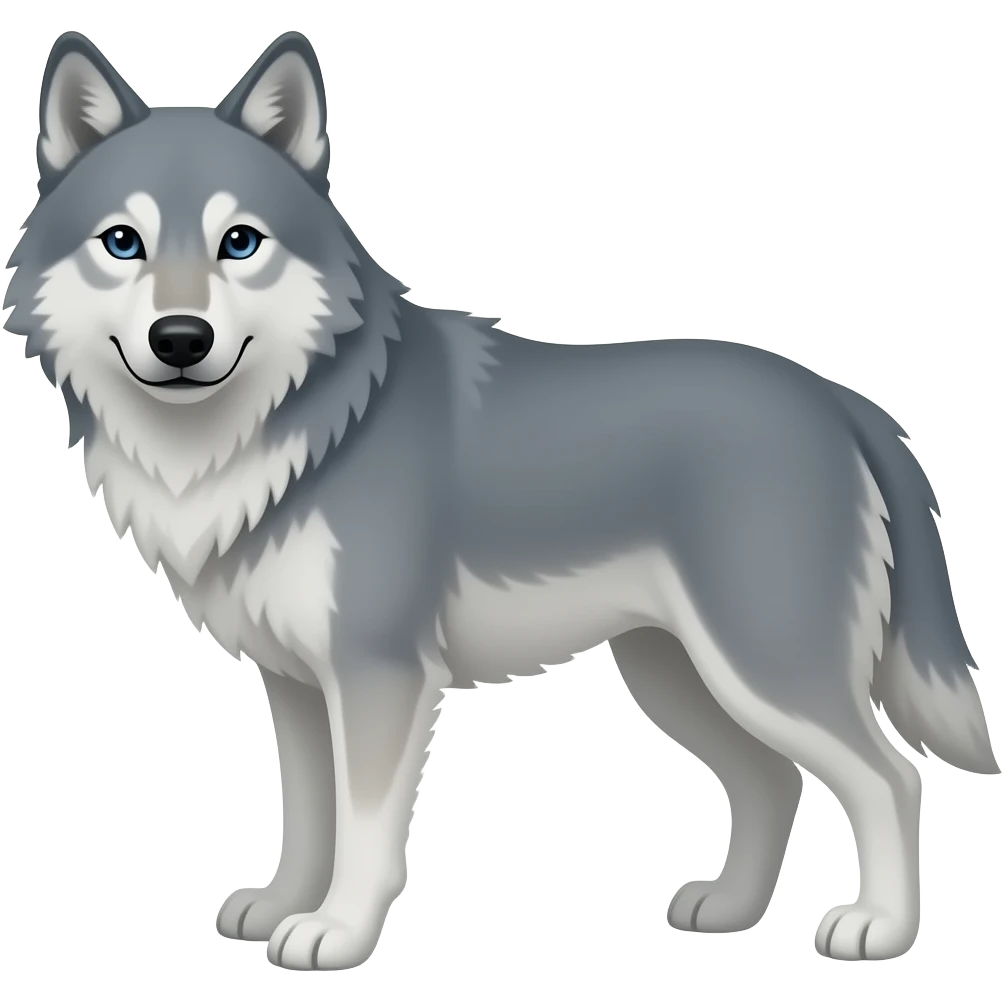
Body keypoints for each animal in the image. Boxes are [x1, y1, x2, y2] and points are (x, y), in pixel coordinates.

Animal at [3, 28, 997, 971]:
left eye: (239, 243)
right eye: (122, 243)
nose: (181, 338)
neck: (292, 428)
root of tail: (840, 399)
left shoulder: (378, 673)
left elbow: (365, 829)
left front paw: (336, 933)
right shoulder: (294, 683)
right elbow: (310, 815)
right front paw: (284, 904)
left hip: (762, 666)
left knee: (889, 775)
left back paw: (877, 928)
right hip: (674, 674)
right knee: (771, 781)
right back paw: (729, 909)